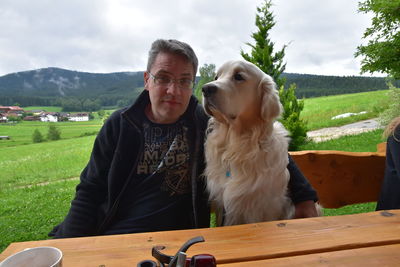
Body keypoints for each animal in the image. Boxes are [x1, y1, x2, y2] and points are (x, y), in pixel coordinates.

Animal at [203, 60, 310, 226]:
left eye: (238, 76)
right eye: (216, 77)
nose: (205, 89)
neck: (236, 146)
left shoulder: (265, 207)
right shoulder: (222, 205)